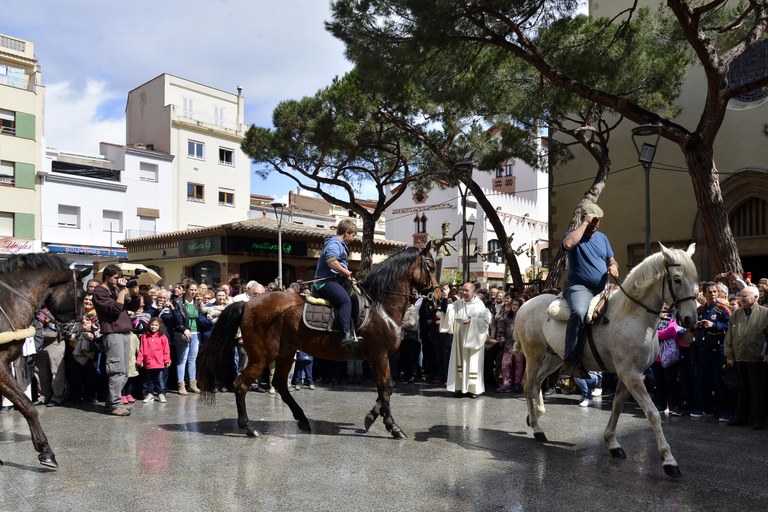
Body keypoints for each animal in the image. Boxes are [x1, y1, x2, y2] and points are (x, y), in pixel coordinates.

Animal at [198, 243, 438, 436]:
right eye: (431, 266)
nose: (436, 296)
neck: (380, 306)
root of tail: (247, 303)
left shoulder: (379, 357)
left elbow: (388, 387)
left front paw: (370, 417)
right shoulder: (379, 356)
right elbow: (386, 388)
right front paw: (393, 427)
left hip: (286, 352)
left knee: (280, 384)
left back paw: (302, 420)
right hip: (262, 355)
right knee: (241, 385)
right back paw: (249, 427)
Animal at [516, 242, 696, 478]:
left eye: (694, 278)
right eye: (676, 279)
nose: (690, 319)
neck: (633, 316)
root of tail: (525, 304)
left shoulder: (629, 375)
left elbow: (617, 407)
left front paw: (612, 443)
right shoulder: (630, 374)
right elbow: (652, 413)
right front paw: (669, 460)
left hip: (554, 358)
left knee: (537, 382)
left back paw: (535, 416)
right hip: (534, 355)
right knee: (528, 385)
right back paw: (537, 428)